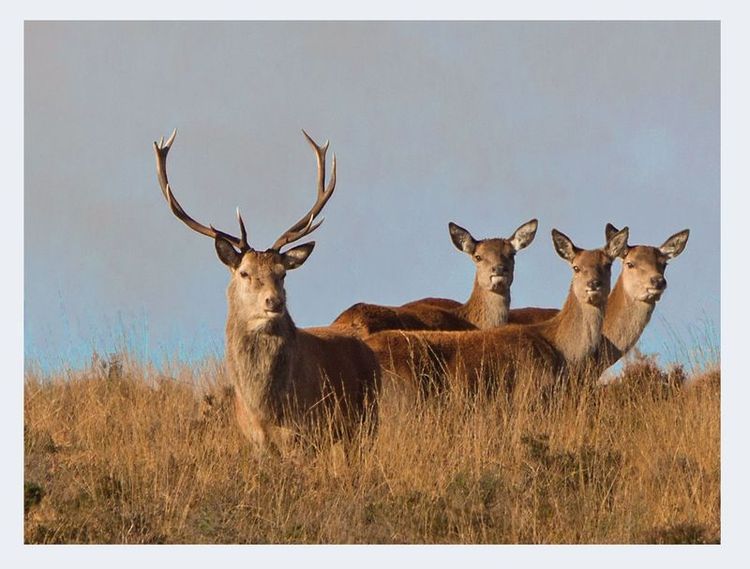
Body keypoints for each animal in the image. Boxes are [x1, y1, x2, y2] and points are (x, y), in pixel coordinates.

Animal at [153, 129, 381, 453]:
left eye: (282, 273)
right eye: (245, 273)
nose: (274, 301)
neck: (265, 409)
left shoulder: (303, 434)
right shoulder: (255, 441)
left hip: (366, 421)